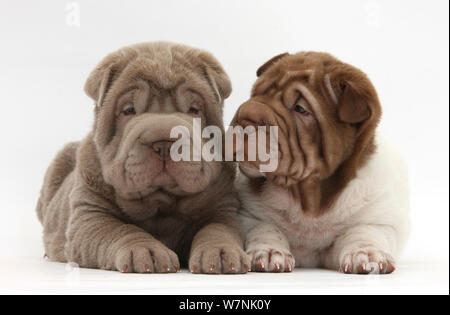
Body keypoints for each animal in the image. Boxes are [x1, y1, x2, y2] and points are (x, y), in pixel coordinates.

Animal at [36, 42, 250, 274]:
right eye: (129, 110)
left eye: (194, 110)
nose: (164, 144)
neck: (161, 203)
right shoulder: (90, 215)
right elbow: (120, 229)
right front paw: (145, 251)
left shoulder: (223, 207)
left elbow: (218, 228)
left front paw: (220, 251)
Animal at [234, 51, 410, 274]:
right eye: (254, 95)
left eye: (300, 109)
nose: (245, 116)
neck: (308, 200)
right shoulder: (250, 214)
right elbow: (264, 228)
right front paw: (269, 252)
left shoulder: (381, 219)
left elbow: (364, 232)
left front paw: (366, 253)